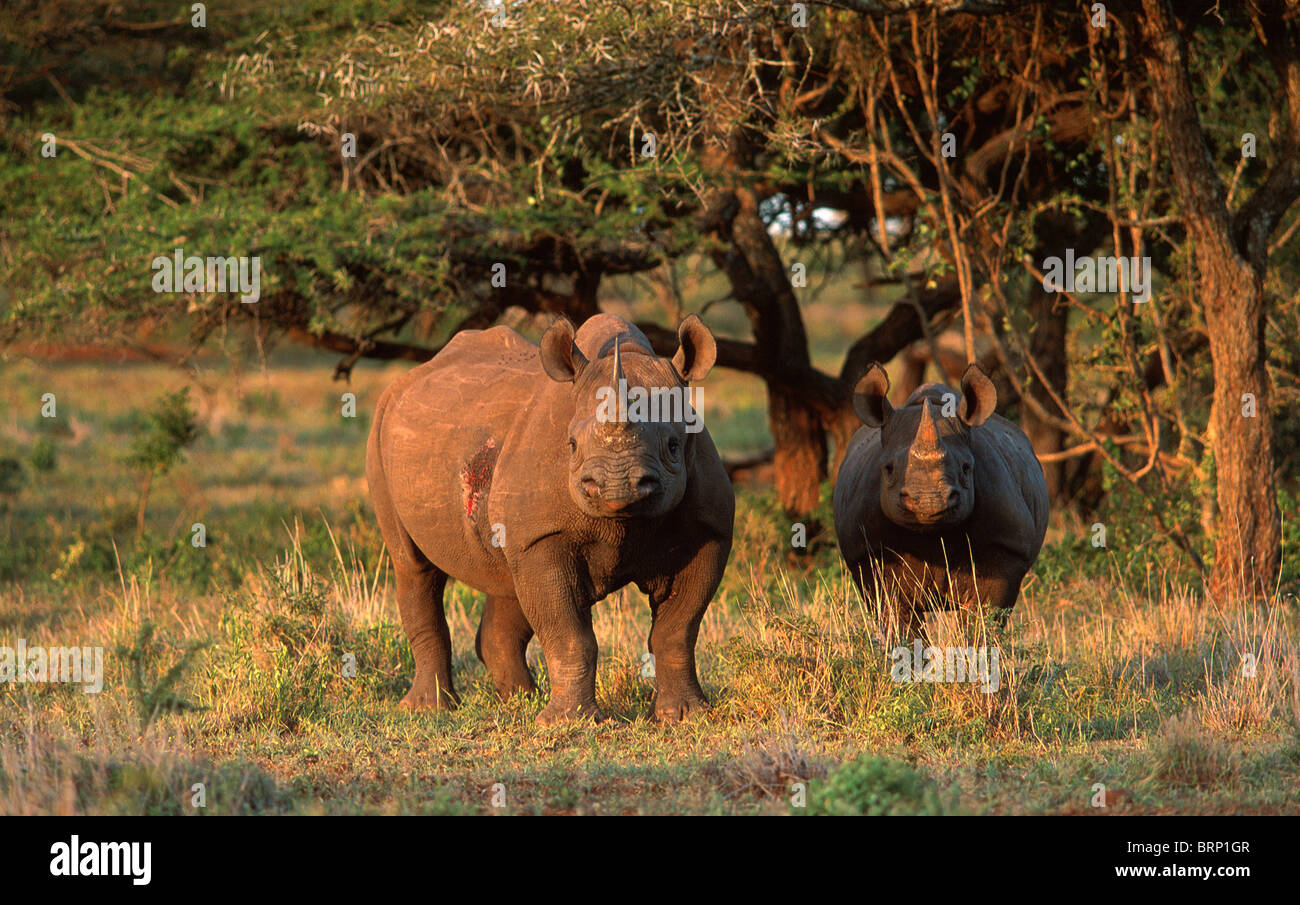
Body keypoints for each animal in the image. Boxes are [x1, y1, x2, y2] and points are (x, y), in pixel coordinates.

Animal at [364, 310, 733, 722]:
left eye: (673, 446)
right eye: (571, 445)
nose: (616, 485)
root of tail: (410, 377)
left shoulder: (707, 533)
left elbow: (677, 631)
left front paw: (685, 715)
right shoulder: (545, 535)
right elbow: (569, 635)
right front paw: (568, 722)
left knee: (507, 576)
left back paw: (518, 701)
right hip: (380, 434)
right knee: (413, 566)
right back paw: (429, 709)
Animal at [837, 361, 1050, 637]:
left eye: (967, 468)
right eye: (888, 469)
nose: (929, 501)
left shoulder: (1006, 545)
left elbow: (982, 619)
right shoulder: (868, 552)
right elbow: (898, 617)